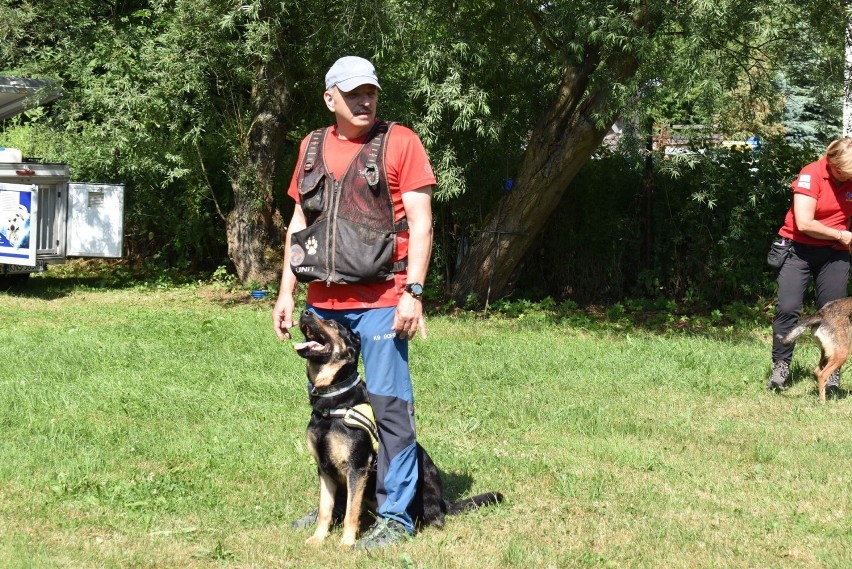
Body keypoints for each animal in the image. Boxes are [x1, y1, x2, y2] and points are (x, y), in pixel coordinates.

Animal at [296, 310, 502, 544]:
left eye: (331, 324)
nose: (304, 312)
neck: (333, 399)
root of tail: (443, 502)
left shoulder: (357, 468)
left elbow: (351, 512)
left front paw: (346, 543)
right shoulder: (324, 469)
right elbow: (325, 509)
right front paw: (318, 538)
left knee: (432, 517)